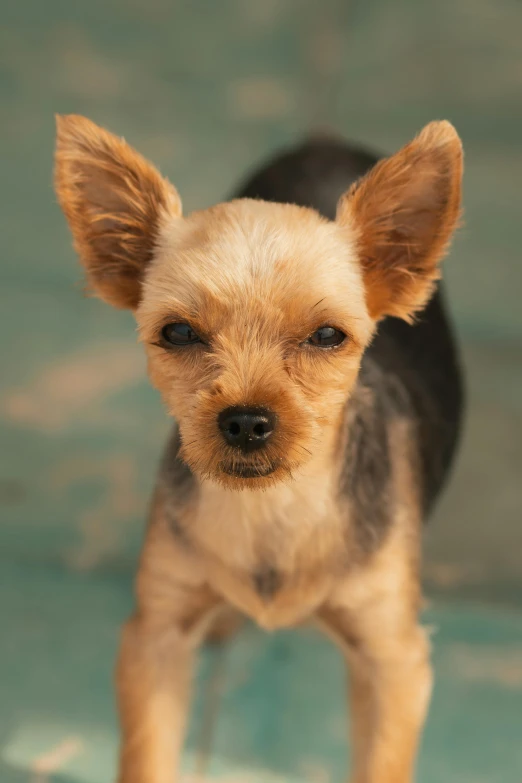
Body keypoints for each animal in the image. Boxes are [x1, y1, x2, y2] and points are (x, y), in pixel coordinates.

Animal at [55, 116, 464, 783]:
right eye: (177, 332)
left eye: (327, 336)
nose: (246, 420)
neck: (273, 507)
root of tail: (324, 141)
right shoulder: (155, 638)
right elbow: (147, 755)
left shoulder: (393, 660)